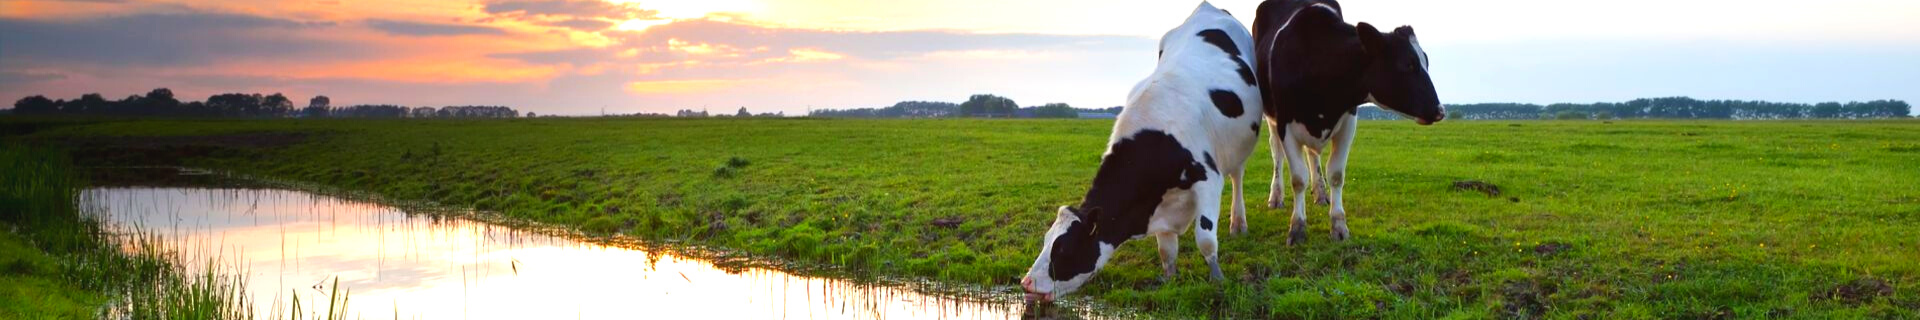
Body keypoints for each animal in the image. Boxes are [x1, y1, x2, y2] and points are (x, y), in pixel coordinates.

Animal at [1021, 1, 1259, 300]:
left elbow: (1205, 239)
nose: (1026, 282)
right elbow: (1166, 250)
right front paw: (1169, 280)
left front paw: (1217, 280)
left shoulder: (1208, 179)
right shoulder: (1159, 206)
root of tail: (1207, 8)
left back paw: (1238, 224)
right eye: (1045, 240)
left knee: (1237, 175)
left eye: (1063, 248)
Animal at [1251, 0, 1443, 243]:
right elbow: (1298, 179)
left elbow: (1336, 174)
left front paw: (1339, 225)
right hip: (1271, 118)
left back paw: (1321, 193)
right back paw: (1276, 196)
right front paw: (1297, 227)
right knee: (1277, 153)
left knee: (1312, 154)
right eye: (1408, 64)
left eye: (1426, 61)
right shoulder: (1286, 123)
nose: (1439, 110)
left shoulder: (1348, 122)